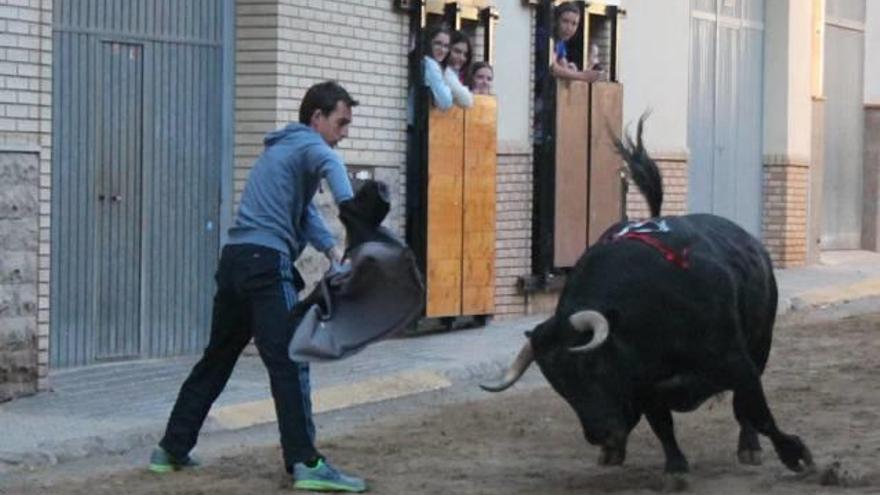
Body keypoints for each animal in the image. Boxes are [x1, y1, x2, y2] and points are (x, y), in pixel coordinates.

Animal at [484, 118, 816, 478]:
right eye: (557, 382)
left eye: (590, 365)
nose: (600, 434)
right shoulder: (644, 385)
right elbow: (661, 422)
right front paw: (673, 464)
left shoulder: (739, 362)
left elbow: (756, 410)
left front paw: (796, 454)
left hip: (761, 342)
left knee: (746, 410)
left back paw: (750, 447)